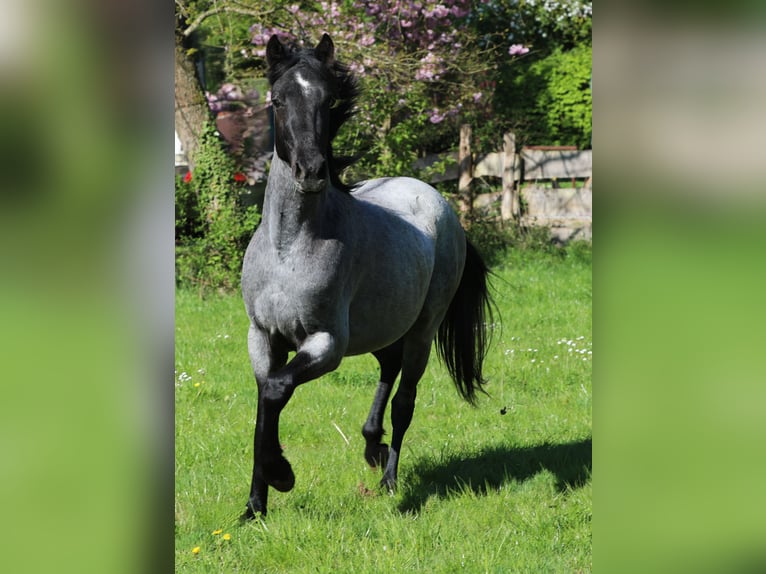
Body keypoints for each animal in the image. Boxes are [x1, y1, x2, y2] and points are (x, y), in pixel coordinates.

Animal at [240, 33, 494, 519]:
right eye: (278, 100)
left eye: (328, 99)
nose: (312, 171)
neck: (289, 249)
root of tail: (437, 199)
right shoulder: (262, 337)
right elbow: (264, 401)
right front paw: (254, 508)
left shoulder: (327, 344)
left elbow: (277, 390)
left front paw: (282, 476)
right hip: (382, 326)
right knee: (387, 367)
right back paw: (371, 446)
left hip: (422, 330)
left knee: (404, 401)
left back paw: (390, 480)